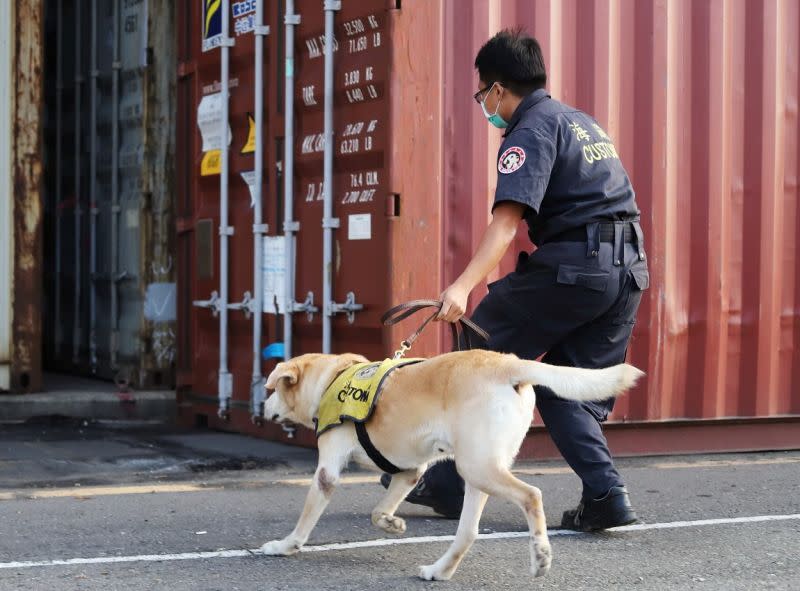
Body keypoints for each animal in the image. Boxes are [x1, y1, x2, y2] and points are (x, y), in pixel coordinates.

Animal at [262, 350, 644, 580]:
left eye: (273, 389)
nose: (261, 407)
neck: (332, 378)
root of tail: (506, 364)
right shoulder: (410, 472)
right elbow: (378, 511)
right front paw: (391, 523)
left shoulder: (327, 472)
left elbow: (306, 520)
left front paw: (285, 546)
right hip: (478, 472)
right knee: (468, 531)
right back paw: (440, 570)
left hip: (478, 468)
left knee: (531, 495)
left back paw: (540, 555)